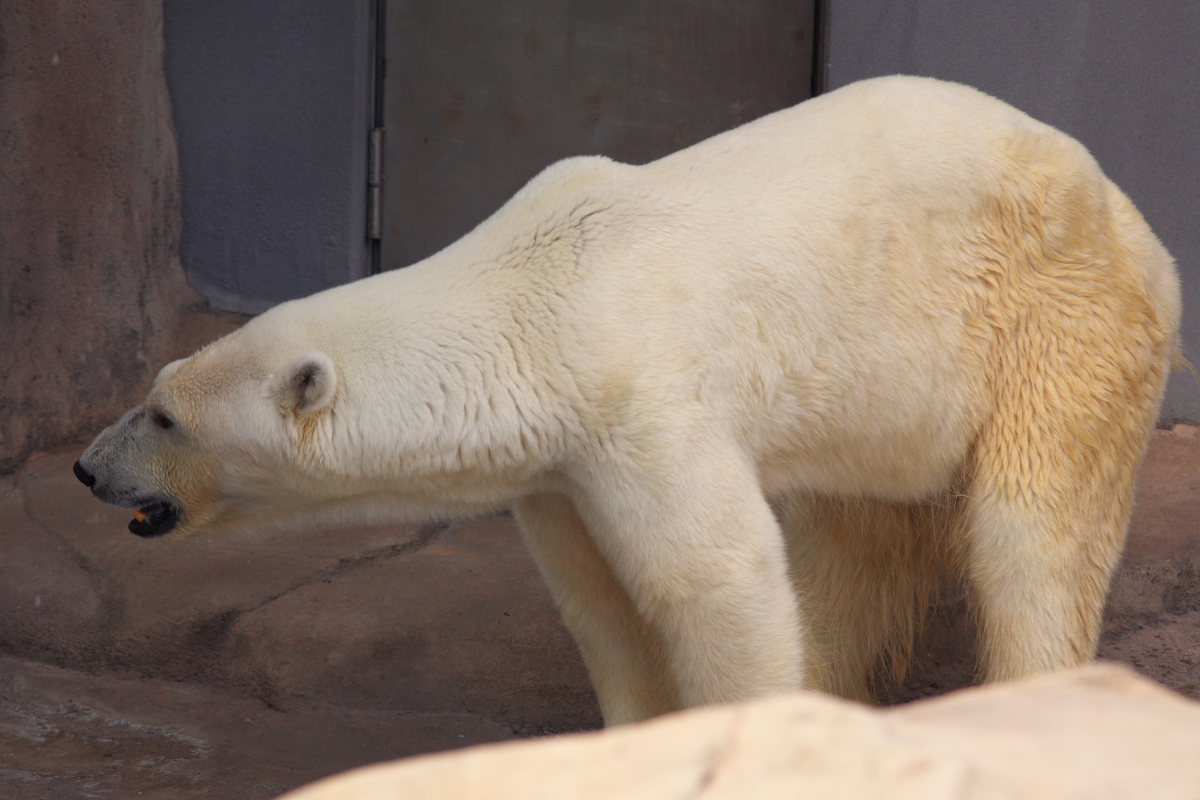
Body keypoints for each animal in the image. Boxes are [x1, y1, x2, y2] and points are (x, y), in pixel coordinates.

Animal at [77, 76, 1180, 724]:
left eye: (165, 416)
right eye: (151, 392)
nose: (88, 468)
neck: (539, 296)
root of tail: (1139, 225)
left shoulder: (643, 403)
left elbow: (716, 578)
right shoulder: (559, 466)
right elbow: (599, 600)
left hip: (1057, 325)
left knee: (1032, 537)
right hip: (889, 397)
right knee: (853, 544)